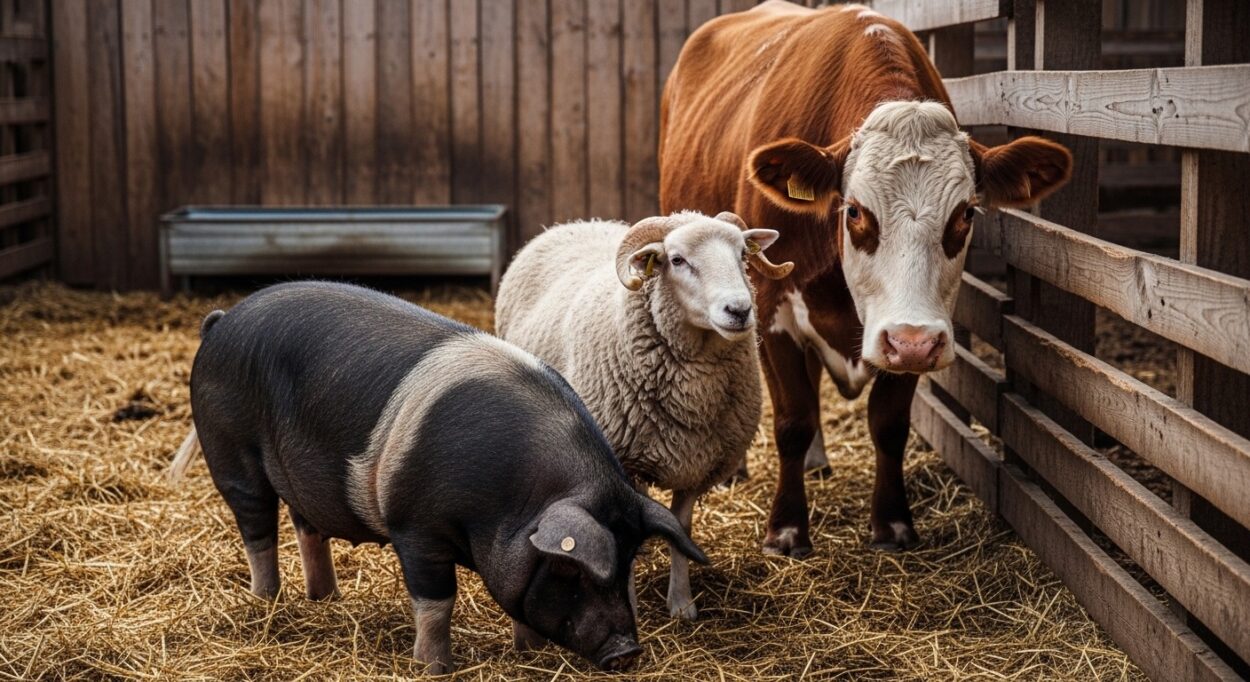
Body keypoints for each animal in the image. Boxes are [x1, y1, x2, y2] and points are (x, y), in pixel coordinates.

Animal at [178, 281, 708, 673]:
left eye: (627, 563)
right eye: (570, 571)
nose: (628, 652)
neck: (514, 502)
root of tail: (220, 322)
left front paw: (531, 653)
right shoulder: (416, 528)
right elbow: (437, 601)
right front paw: (436, 668)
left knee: (306, 524)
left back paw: (325, 598)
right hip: (231, 451)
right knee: (257, 528)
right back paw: (267, 602)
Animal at [495, 210, 792, 620]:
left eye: (742, 255)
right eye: (677, 260)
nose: (740, 310)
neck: (692, 395)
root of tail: (573, 223)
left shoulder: (698, 464)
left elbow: (681, 529)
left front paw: (681, 604)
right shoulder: (624, 461)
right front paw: (631, 607)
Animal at [659, 0, 1072, 557]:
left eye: (966, 214)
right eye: (854, 210)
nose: (912, 342)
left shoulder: (916, 327)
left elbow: (888, 423)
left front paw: (892, 522)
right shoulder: (771, 312)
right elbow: (791, 419)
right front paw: (786, 528)